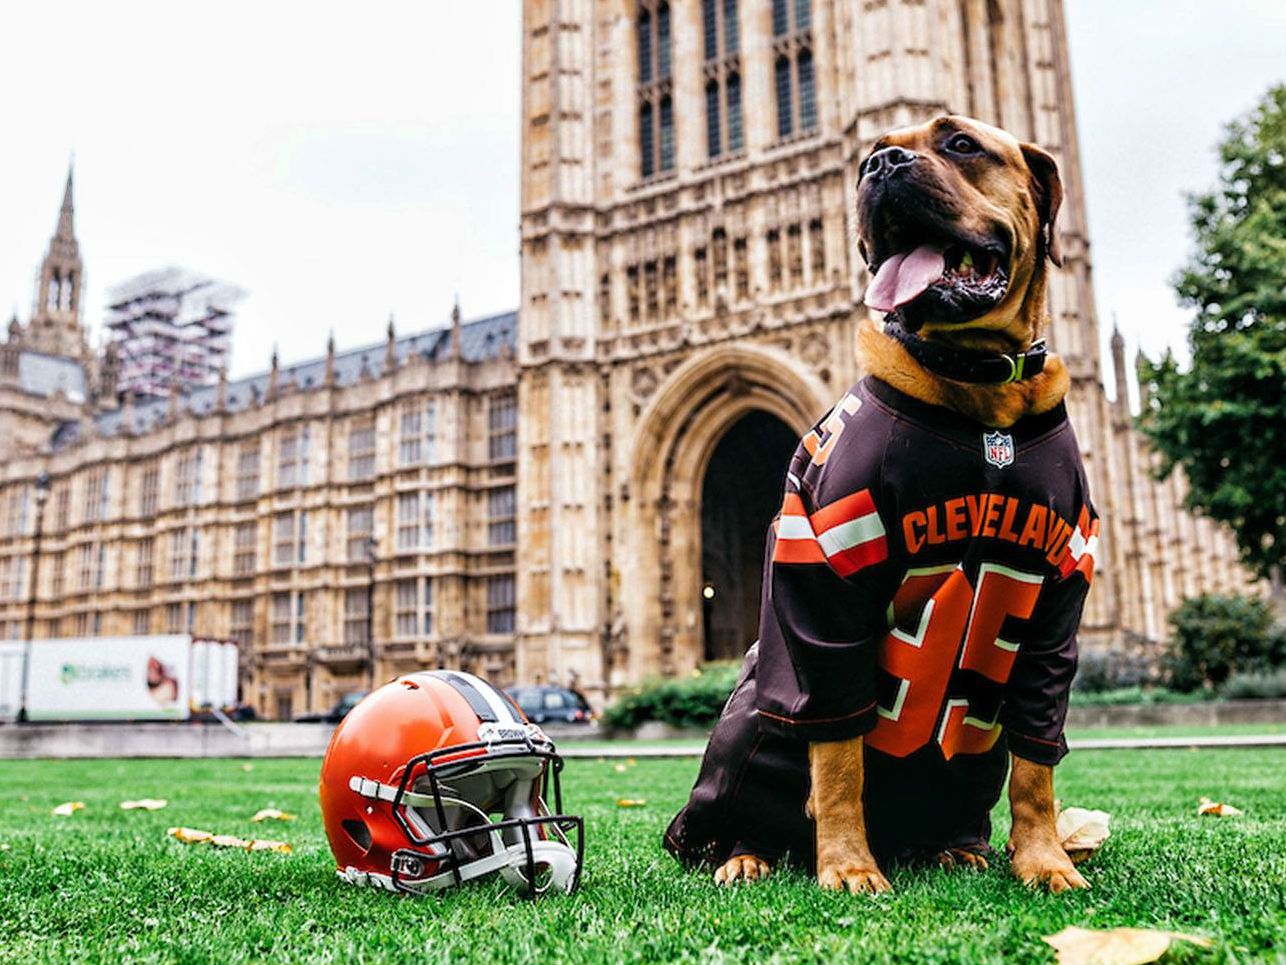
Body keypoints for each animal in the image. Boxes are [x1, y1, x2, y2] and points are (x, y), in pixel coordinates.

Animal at [663, 117, 1095, 895]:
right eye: (871, 153)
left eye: (962, 145)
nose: (881, 164)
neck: (982, 397)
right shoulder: (827, 579)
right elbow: (837, 754)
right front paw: (846, 865)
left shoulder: (1053, 602)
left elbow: (1037, 763)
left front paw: (1044, 860)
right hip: (746, 720)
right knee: (753, 800)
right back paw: (750, 855)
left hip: (976, 742)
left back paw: (953, 847)